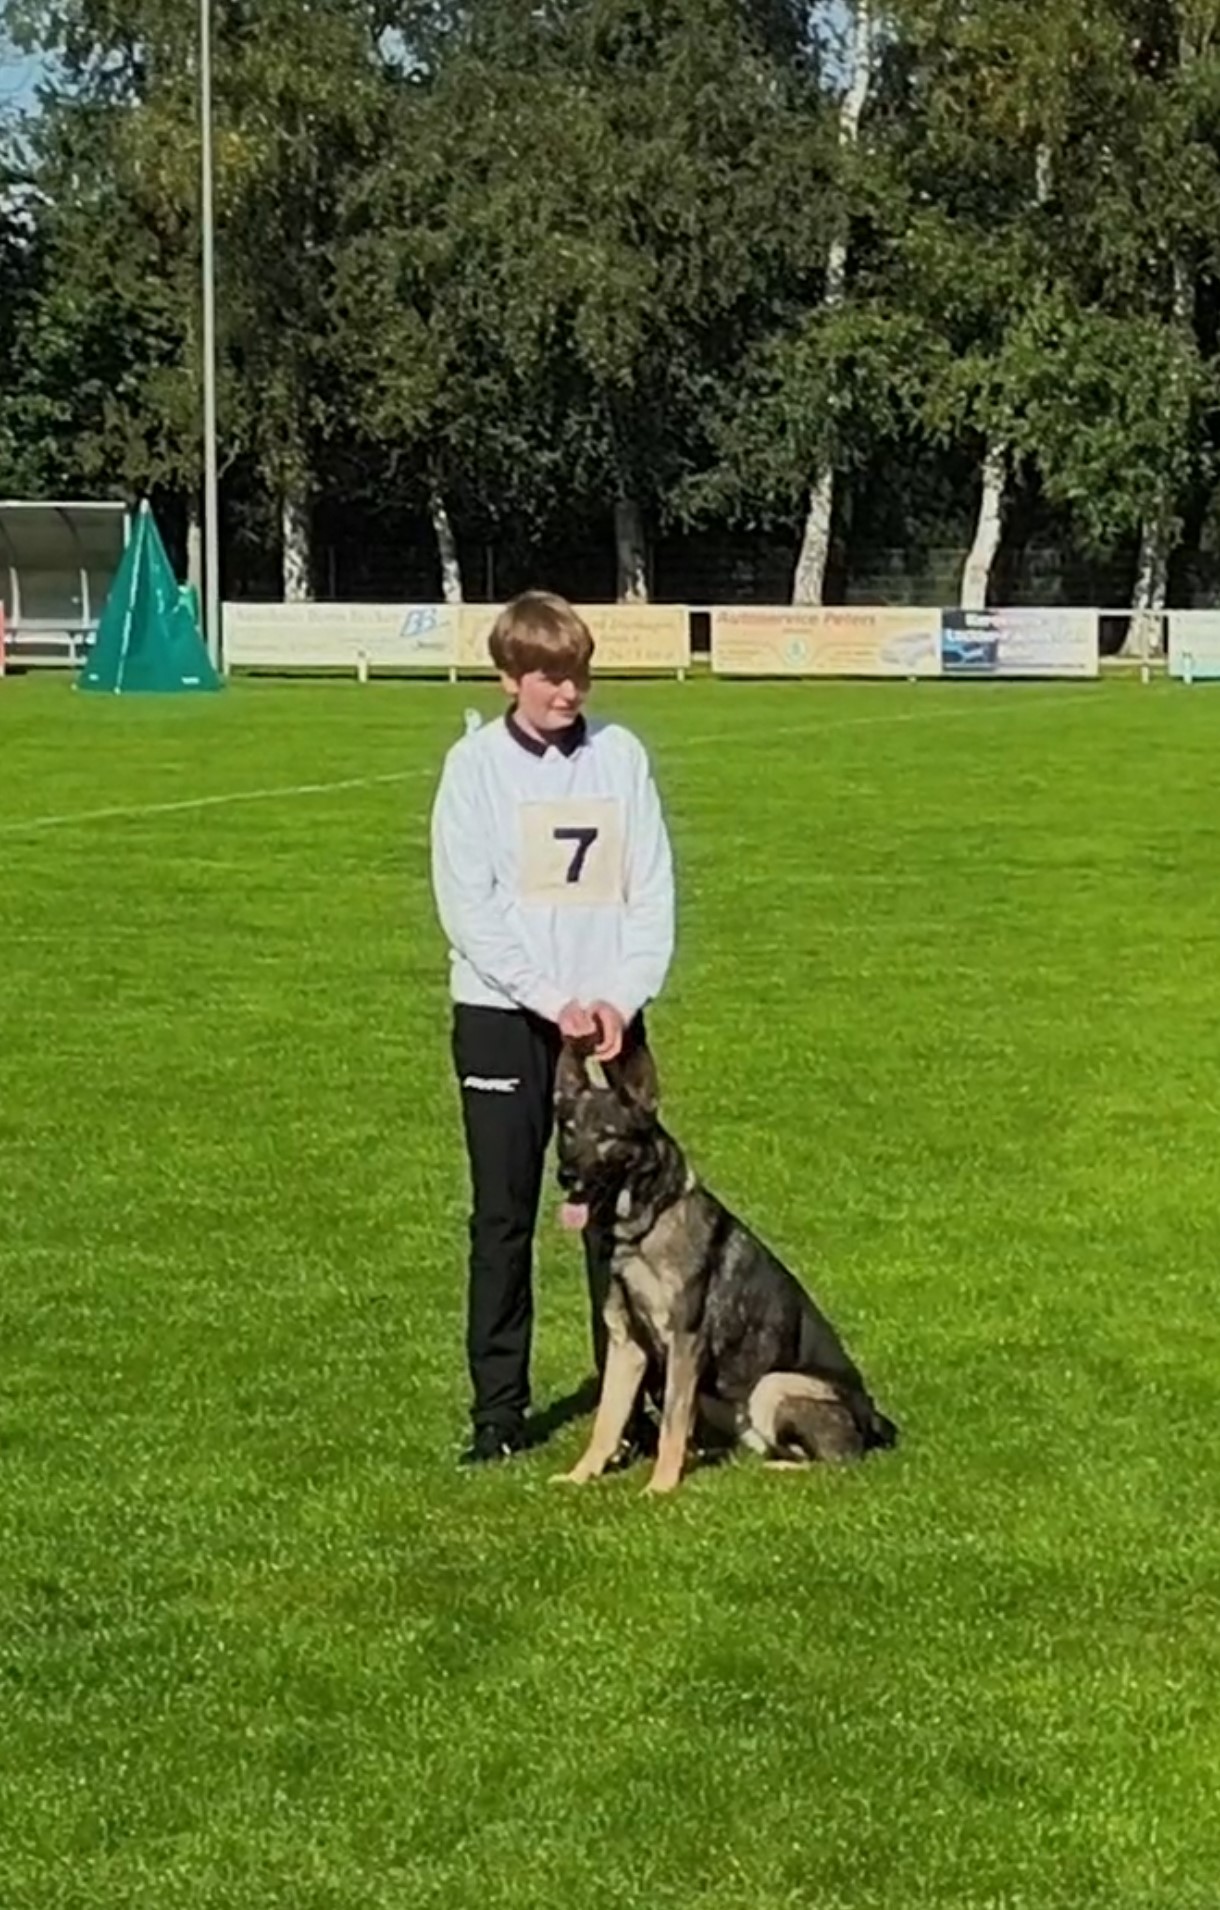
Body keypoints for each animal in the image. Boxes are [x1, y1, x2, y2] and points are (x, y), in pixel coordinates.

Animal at [553, 1042, 898, 1495]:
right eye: (568, 1130)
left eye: (607, 1136)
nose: (566, 1176)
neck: (641, 1231)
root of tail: (874, 1420)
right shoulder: (627, 1345)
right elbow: (607, 1423)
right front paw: (580, 1475)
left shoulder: (684, 1342)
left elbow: (671, 1427)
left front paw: (660, 1488)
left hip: (771, 1385)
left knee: (837, 1460)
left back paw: (776, 1469)